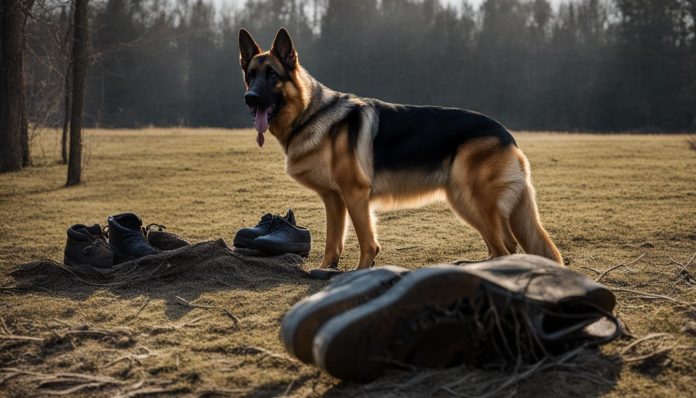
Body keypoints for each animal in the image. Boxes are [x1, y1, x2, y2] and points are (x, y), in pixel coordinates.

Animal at [237, 28, 564, 270]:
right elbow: (333, 241)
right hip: (466, 201)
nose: (249, 99)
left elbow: (367, 243)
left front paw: (359, 274)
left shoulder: (355, 195)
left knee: (505, 248)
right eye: (251, 75)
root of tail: (507, 136)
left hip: (472, 199)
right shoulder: (334, 199)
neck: (310, 114)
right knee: (505, 247)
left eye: (273, 75)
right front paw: (326, 270)